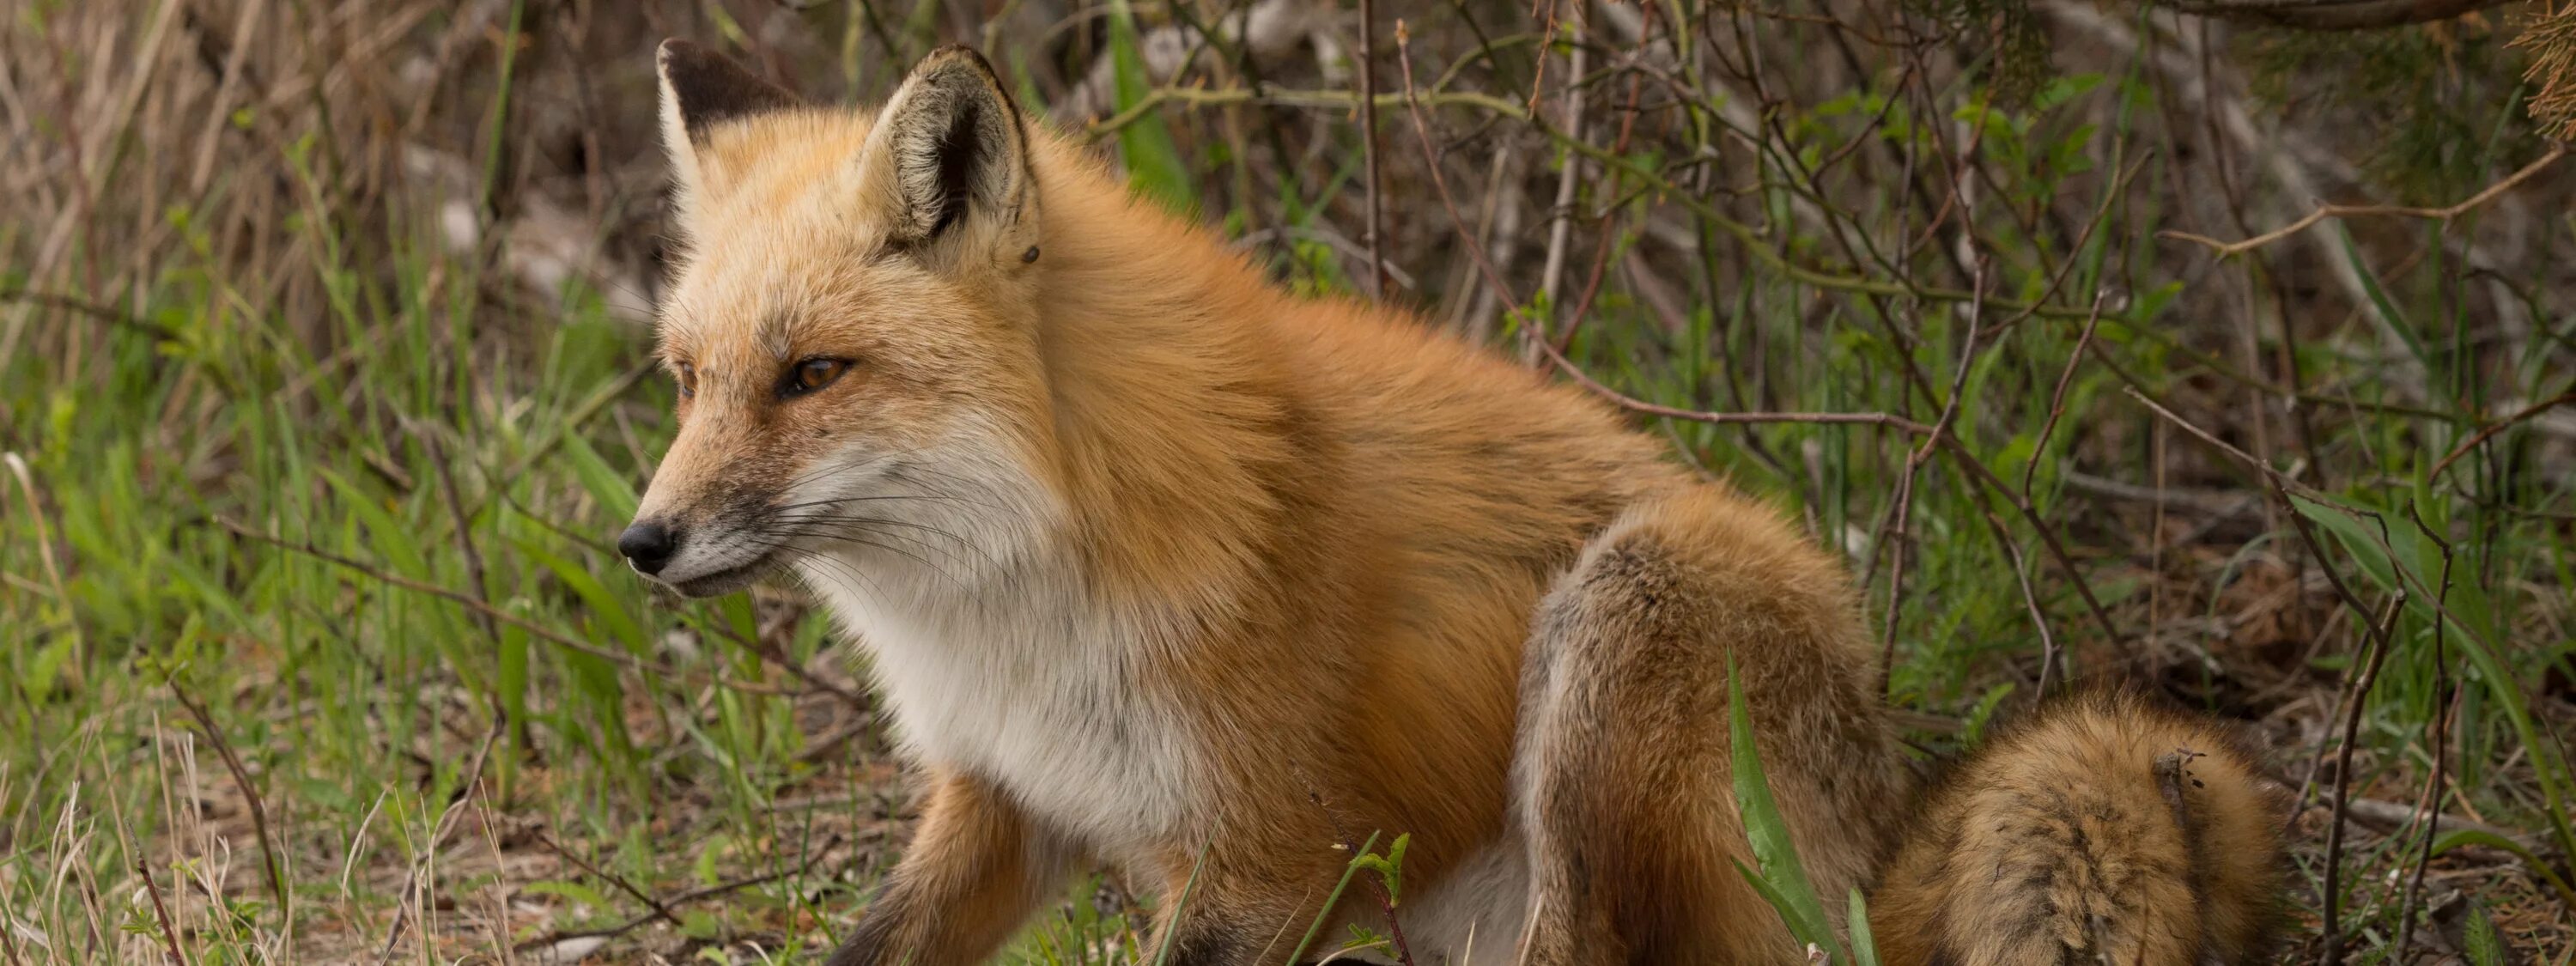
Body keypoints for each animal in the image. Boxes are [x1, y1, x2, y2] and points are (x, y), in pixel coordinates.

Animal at [623, 39, 2298, 966]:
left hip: (1618, 628)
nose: (639, 544)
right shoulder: (1007, 799)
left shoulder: (1275, 851)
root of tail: (1879, 828)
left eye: (814, 374)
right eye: (687, 378)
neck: (1014, 594)